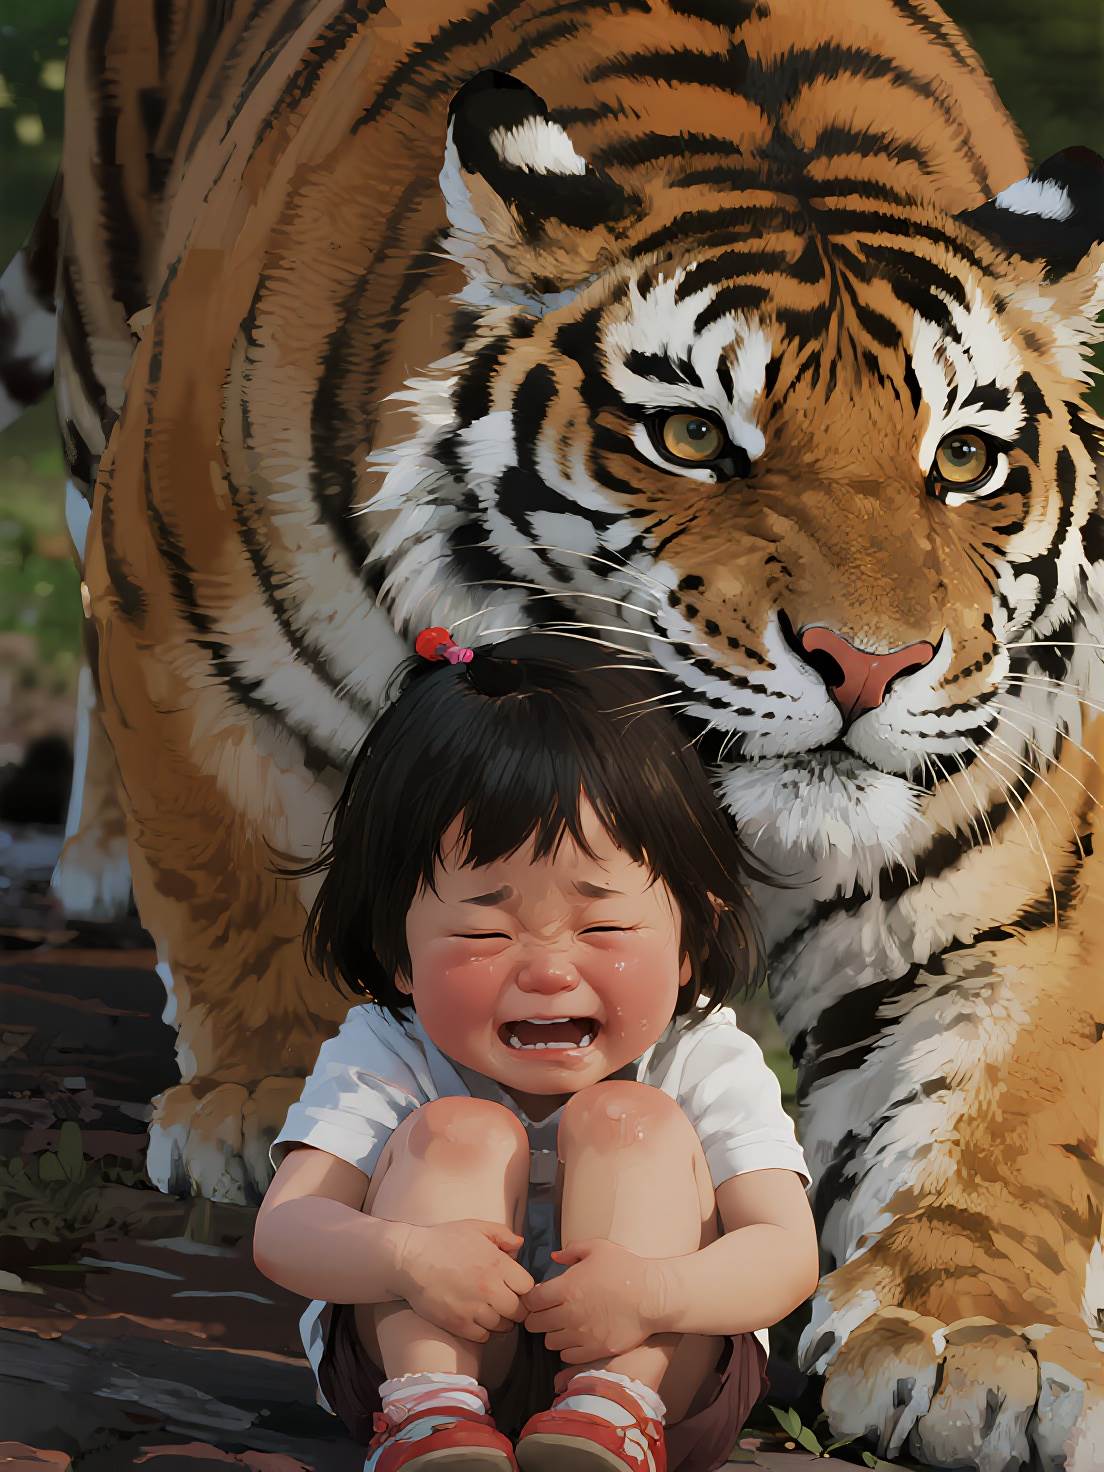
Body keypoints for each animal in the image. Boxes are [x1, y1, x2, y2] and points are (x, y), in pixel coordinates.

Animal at [2, 0, 1101, 1466]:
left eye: (965, 462)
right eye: (692, 436)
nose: (870, 663)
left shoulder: (1001, 852)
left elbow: (1008, 1088)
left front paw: (978, 1339)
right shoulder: (174, 575)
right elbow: (234, 858)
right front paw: (264, 1098)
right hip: (99, 362)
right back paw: (94, 863)